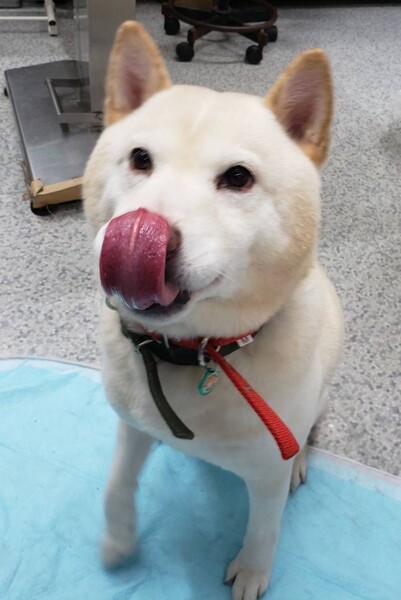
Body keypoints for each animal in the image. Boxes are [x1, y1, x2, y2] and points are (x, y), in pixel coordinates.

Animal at [83, 21, 343, 600]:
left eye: (238, 177)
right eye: (139, 159)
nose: (140, 234)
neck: (197, 353)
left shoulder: (266, 471)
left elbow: (265, 526)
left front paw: (252, 570)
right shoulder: (132, 426)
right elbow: (114, 484)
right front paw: (116, 539)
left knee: (306, 435)